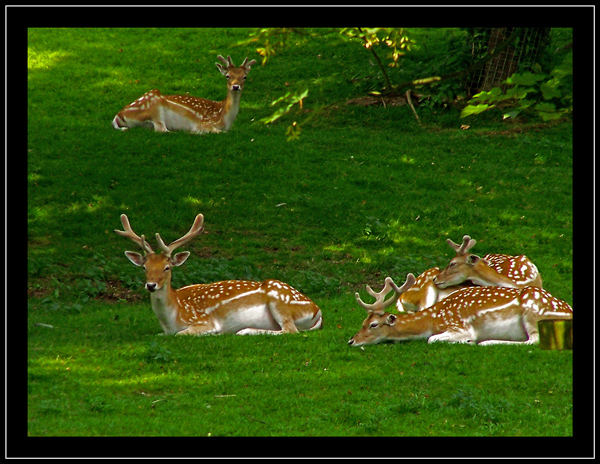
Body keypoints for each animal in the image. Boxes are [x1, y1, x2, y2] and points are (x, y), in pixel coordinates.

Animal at [111, 55, 256, 134]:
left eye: (244, 77)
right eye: (227, 76)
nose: (235, 86)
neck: (224, 118)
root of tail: (118, 116)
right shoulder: (203, 122)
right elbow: (218, 131)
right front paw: (195, 132)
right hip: (155, 108)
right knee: (161, 129)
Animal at [116, 214, 324, 338]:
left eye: (167, 268)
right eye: (145, 267)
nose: (151, 285)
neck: (171, 319)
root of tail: (317, 311)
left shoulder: (203, 321)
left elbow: (182, 334)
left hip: (279, 300)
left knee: (290, 330)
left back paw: (245, 330)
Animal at [346, 274, 572, 346]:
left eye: (373, 325)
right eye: (362, 323)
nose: (351, 341)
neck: (433, 319)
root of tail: (567, 310)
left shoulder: (460, 326)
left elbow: (431, 339)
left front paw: (469, 341)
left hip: (533, 311)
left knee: (533, 340)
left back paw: (486, 342)